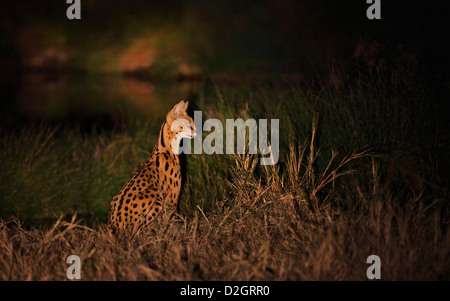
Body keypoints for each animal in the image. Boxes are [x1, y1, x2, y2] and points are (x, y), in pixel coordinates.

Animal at [108, 99, 196, 233]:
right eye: (189, 125)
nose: (196, 131)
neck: (167, 148)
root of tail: (114, 226)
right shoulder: (172, 199)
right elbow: (172, 220)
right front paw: (177, 233)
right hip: (155, 196)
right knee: (138, 231)